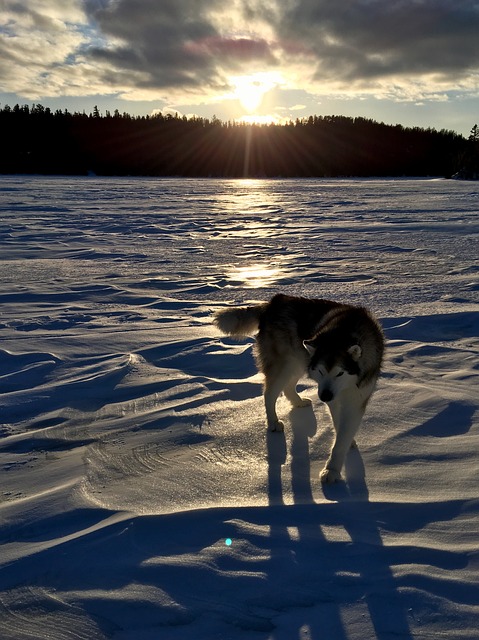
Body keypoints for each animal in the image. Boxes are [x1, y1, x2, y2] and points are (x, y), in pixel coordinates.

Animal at [216, 292, 384, 482]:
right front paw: (332, 470)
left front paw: (344, 446)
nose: (324, 397)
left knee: (288, 387)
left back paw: (298, 402)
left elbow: (343, 429)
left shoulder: (355, 398)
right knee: (269, 393)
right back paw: (273, 422)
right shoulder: (334, 395)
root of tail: (275, 301)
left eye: (340, 373)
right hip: (285, 365)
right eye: (321, 371)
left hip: (299, 361)